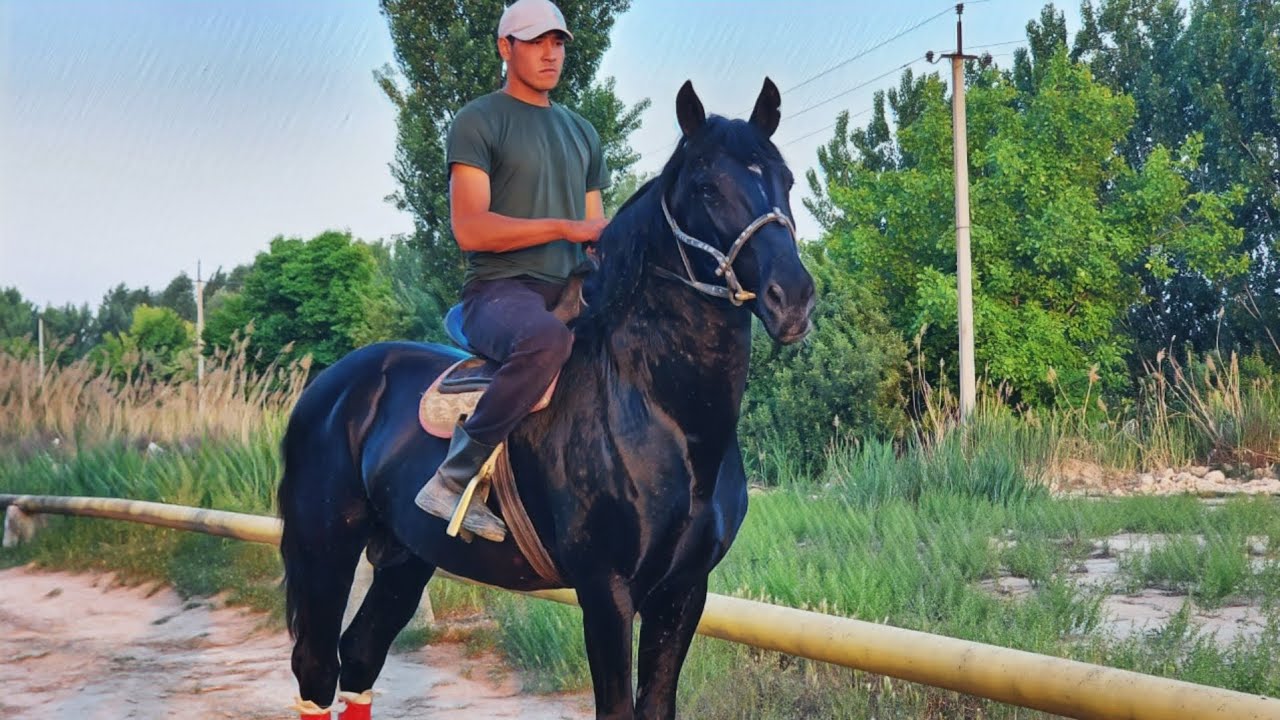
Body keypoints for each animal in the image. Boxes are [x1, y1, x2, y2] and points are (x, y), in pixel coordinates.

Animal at [277, 77, 816, 719]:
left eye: (786, 180)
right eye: (708, 186)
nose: (794, 298)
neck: (662, 413)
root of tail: (330, 387)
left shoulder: (684, 592)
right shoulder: (606, 592)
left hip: (407, 556)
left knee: (361, 653)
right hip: (326, 548)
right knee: (316, 668)